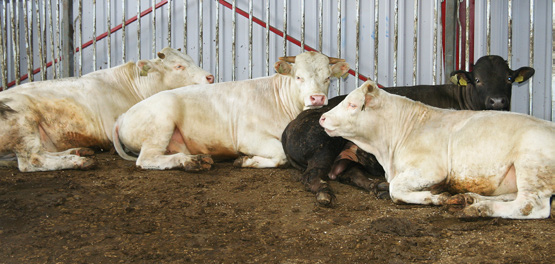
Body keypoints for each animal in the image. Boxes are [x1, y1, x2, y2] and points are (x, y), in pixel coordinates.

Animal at [0, 46, 215, 172]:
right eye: (178, 66)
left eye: (192, 60)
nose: (210, 77)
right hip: (23, 123)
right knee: (32, 160)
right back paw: (78, 161)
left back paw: (78, 151)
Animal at [113, 51, 350, 171]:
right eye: (298, 76)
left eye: (327, 78)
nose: (317, 98)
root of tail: (123, 115)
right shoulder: (249, 137)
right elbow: (281, 155)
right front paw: (246, 160)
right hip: (161, 122)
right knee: (146, 159)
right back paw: (190, 162)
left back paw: (197, 159)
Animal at [282, 54, 536, 205]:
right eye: (478, 80)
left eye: (509, 78)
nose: (497, 101)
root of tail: (290, 126)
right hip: (324, 144)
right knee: (312, 175)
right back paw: (325, 193)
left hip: (345, 157)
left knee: (347, 173)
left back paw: (376, 186)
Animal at [322, 80, 555, 219]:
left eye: (352, 105)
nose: (322, 117)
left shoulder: (431, 169)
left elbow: (395, 190)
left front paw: (437, 198)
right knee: (511, 197)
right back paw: (470, 198)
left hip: (531, 166)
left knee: (530, 206)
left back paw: (479, 208)